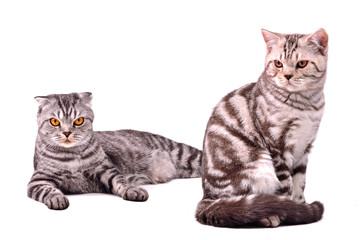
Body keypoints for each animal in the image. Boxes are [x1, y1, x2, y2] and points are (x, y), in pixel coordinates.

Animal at [27, 92, 202, 210]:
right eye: (54, 122)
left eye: (79, 120)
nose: (67, 133)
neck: (72, 156)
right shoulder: (39, 179)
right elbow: (48, 190)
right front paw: (57, 198)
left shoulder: (104, 168)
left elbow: (120, 181)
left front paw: (132, 190)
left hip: (187, 155)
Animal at [195, 28, 328, 227]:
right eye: (278, 63)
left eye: (302, 63)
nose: (287, 75)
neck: (305, 105)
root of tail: (206, 197)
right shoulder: (278, 145)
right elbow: (287, 186)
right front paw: (291, 211)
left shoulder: (305, 147)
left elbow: (299, 182)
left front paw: (301, 206)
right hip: (259, 166)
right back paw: (267, 215)